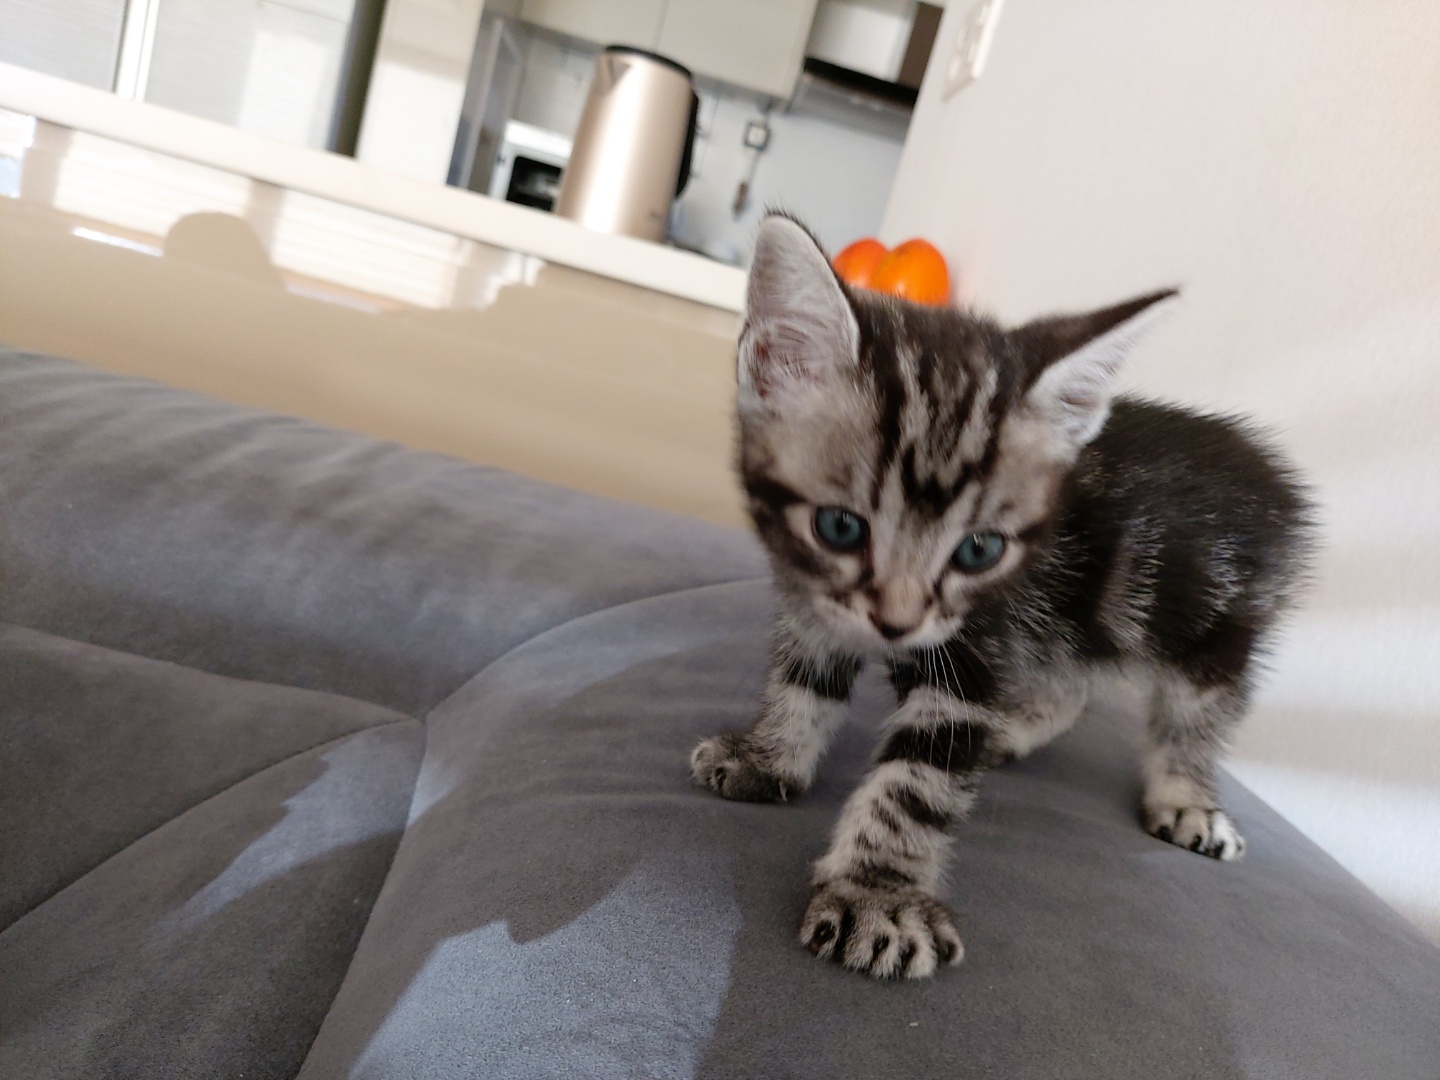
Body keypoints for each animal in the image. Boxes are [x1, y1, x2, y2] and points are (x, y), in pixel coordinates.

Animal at [691, 215, 1313, 980]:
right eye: (839, 527)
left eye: (979, 550)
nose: (897, 623)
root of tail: (1275, 481)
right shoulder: (816, 602)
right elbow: (805, 680)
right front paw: (769, 755)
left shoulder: (979, 644)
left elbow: (918, 781)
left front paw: (878, 897)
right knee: (1072, 685)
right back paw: (1015, 731)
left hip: (1211, 624)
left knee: (1197, 716)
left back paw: (1188, 800)